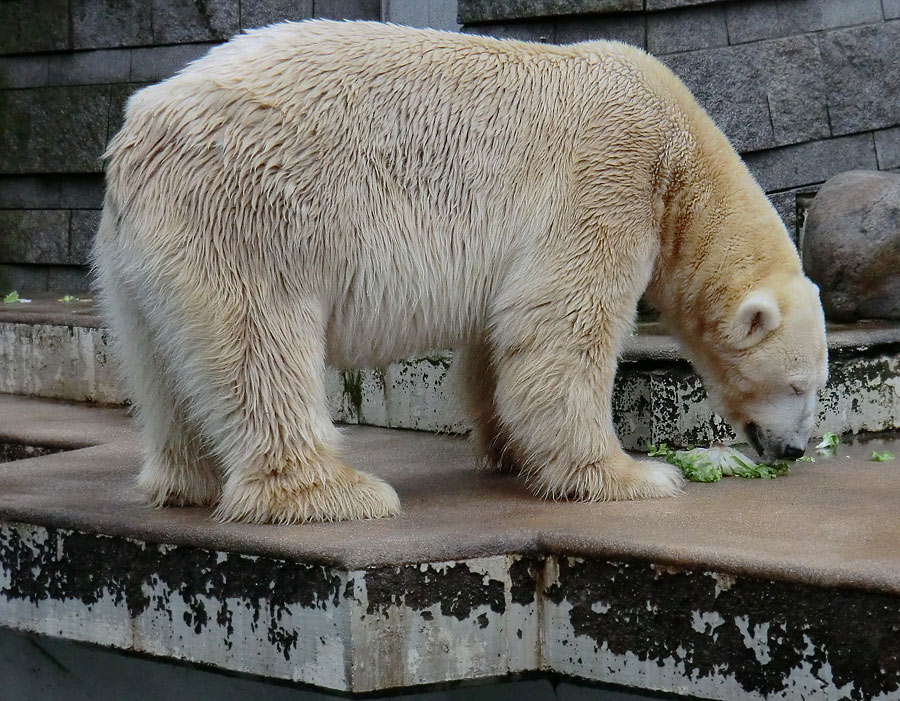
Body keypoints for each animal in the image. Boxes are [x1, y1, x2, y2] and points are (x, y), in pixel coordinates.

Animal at [93, 19, 828, 524]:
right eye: (798, 384)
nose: (795, 450)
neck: (681, 159)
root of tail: (137, 136)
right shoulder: (608, 176)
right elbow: (563, 328)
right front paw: (633, 475)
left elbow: (497, 338)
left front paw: (510, 450)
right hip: (252, 215)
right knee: (261, 345)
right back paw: (337, 492)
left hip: (135, 260)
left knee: (160, 360)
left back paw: (186, 482)